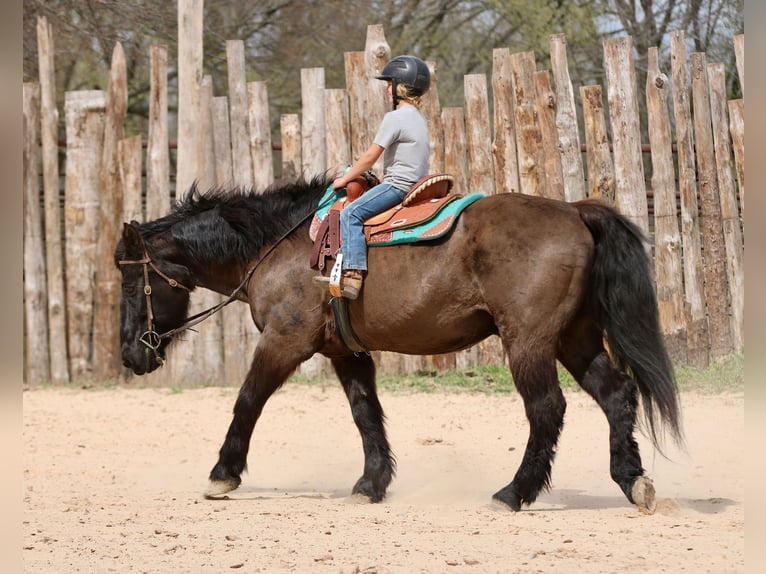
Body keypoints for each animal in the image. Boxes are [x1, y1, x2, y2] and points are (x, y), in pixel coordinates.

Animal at [114, 174, 682, 513]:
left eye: (131, 281)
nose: (130, 354)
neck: (279, 245)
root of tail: (575, 211)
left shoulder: (284, 341)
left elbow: (247, 402)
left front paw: (223, 475)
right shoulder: (345, 352)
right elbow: (365, 413)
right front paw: (371, 484)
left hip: (530, 341)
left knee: (546, 408)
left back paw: (513, 492)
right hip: (574, 337)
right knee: (616, 394)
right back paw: (632, 480)